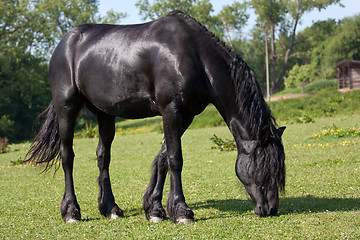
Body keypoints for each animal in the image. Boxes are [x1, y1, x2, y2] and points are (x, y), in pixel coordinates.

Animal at [23, 10, 286, 222]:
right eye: (265, 168)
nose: (271, 209)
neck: (195, 56)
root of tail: (65, 42)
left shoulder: (186, 115)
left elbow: (162, 158)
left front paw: (155, 209)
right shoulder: (171, 110)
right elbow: (175, 159)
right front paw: (181, 211)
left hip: (105, 114)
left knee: (103, 157)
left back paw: (110, 208)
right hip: (66, 107)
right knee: (67, 156)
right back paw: (71, 211)